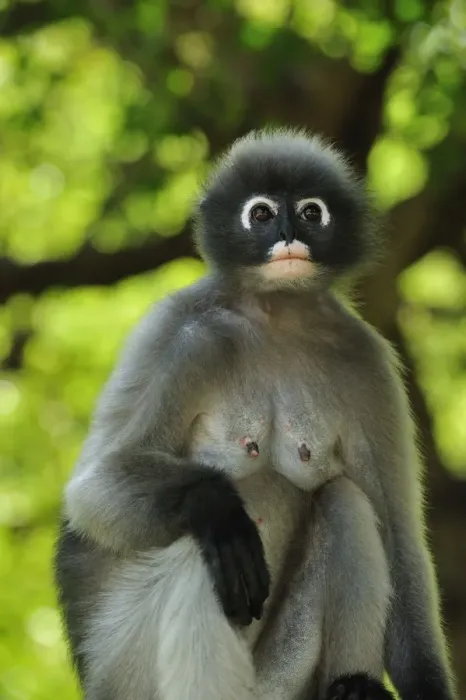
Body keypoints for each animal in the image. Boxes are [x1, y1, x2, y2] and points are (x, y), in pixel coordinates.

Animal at [54, 129, 457, 700]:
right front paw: (215, 503)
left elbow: (399, 535)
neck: (277, 314)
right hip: (130, 664)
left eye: (311, 212)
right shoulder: (178, 334)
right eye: (261, 214)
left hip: (280, 677)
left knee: (346, 502)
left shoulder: (368, 363)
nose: (288, 234)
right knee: (203, 548)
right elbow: (92, 492)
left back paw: (354, 685)